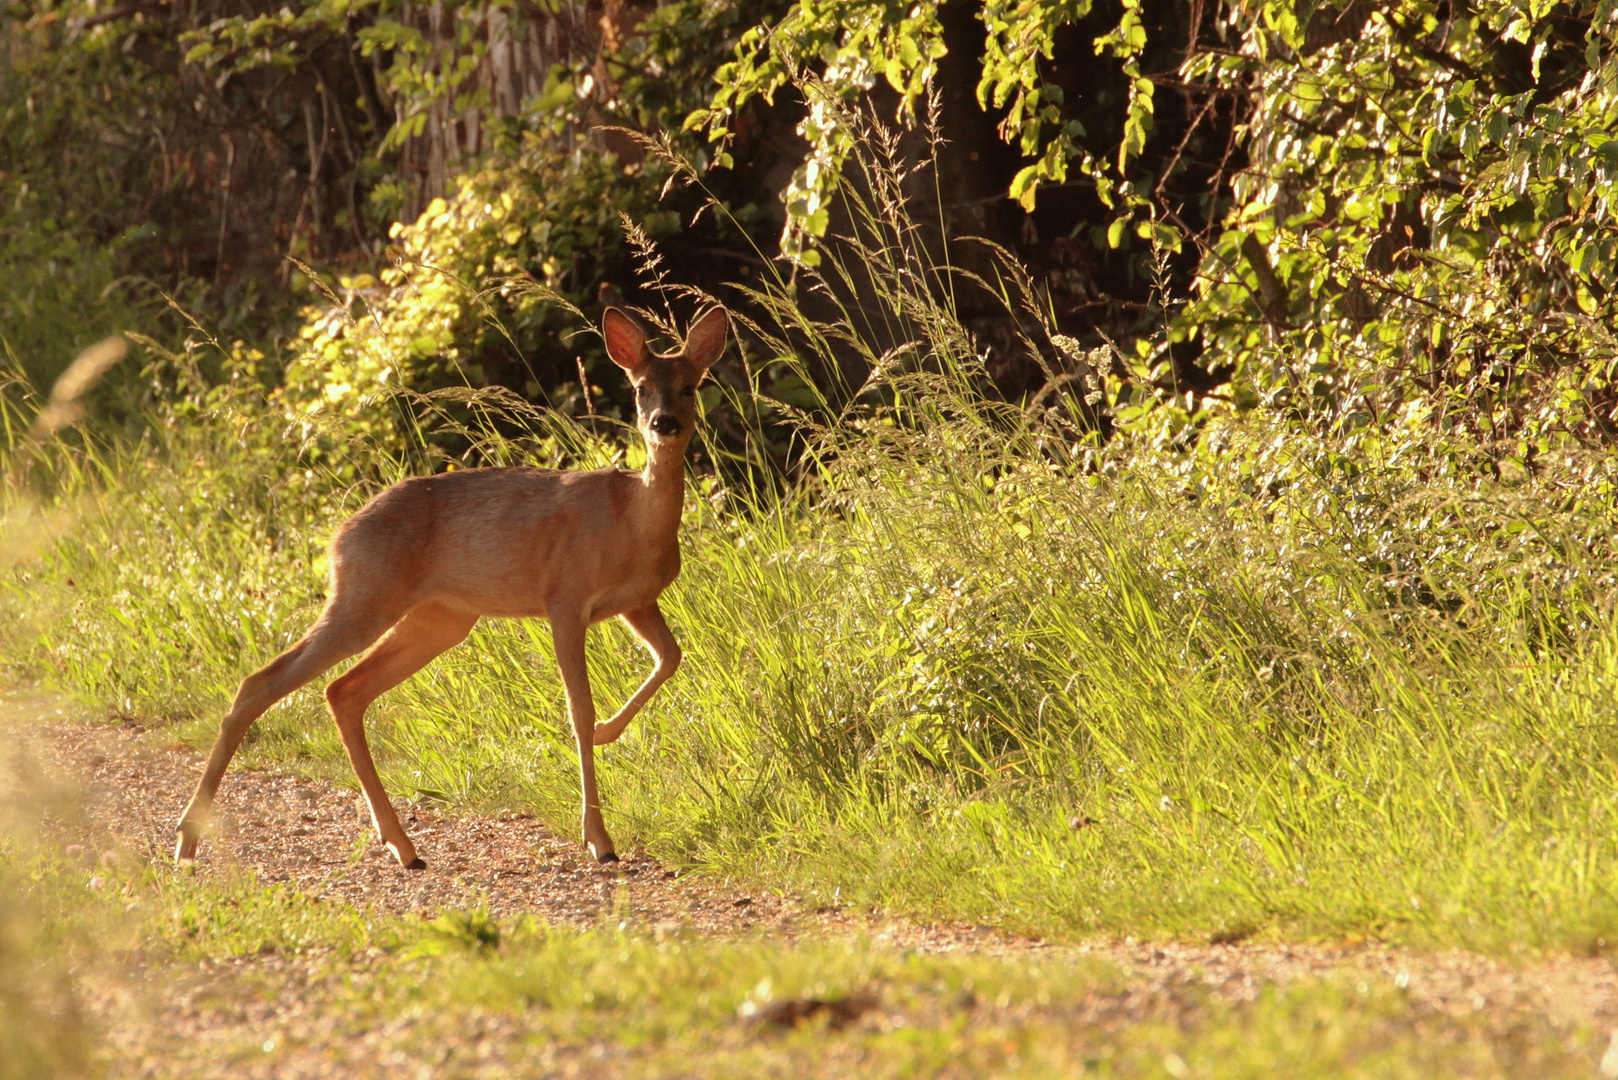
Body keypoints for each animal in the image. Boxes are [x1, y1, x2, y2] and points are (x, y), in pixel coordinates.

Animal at [175, 304, 728, 867]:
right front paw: (598, 837)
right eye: (640, 388)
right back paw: (187, 837)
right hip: (367, 595)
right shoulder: (565, 597)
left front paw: (606, 735)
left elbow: (671, 657)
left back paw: (402, 845)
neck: (631, 523)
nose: (663, 423)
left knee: (343, 691)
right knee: (261, 681)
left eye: (690, 385)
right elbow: (579, 708)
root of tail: (338, 536)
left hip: (439, 618)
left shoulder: (638, 601)